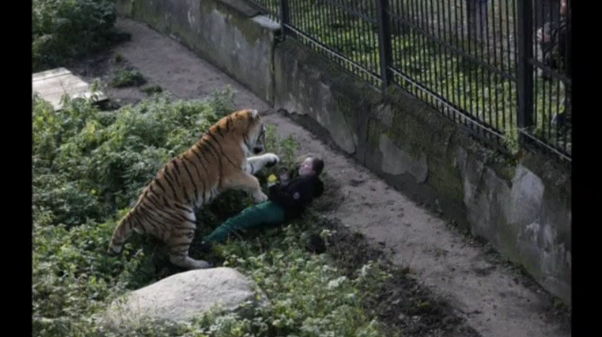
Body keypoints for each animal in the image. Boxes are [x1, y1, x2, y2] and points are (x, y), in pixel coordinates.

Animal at [106, 109, 278, 270]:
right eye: (263, 132)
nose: (264, 146)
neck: (238, 132)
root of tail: (136, 211)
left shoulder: (243, 167)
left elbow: (256, 161)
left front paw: (272, 158)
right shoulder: (231, 175)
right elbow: (253, 181)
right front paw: (261, 197)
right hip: (185, 221)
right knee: (176, 258)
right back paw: (202, 264)